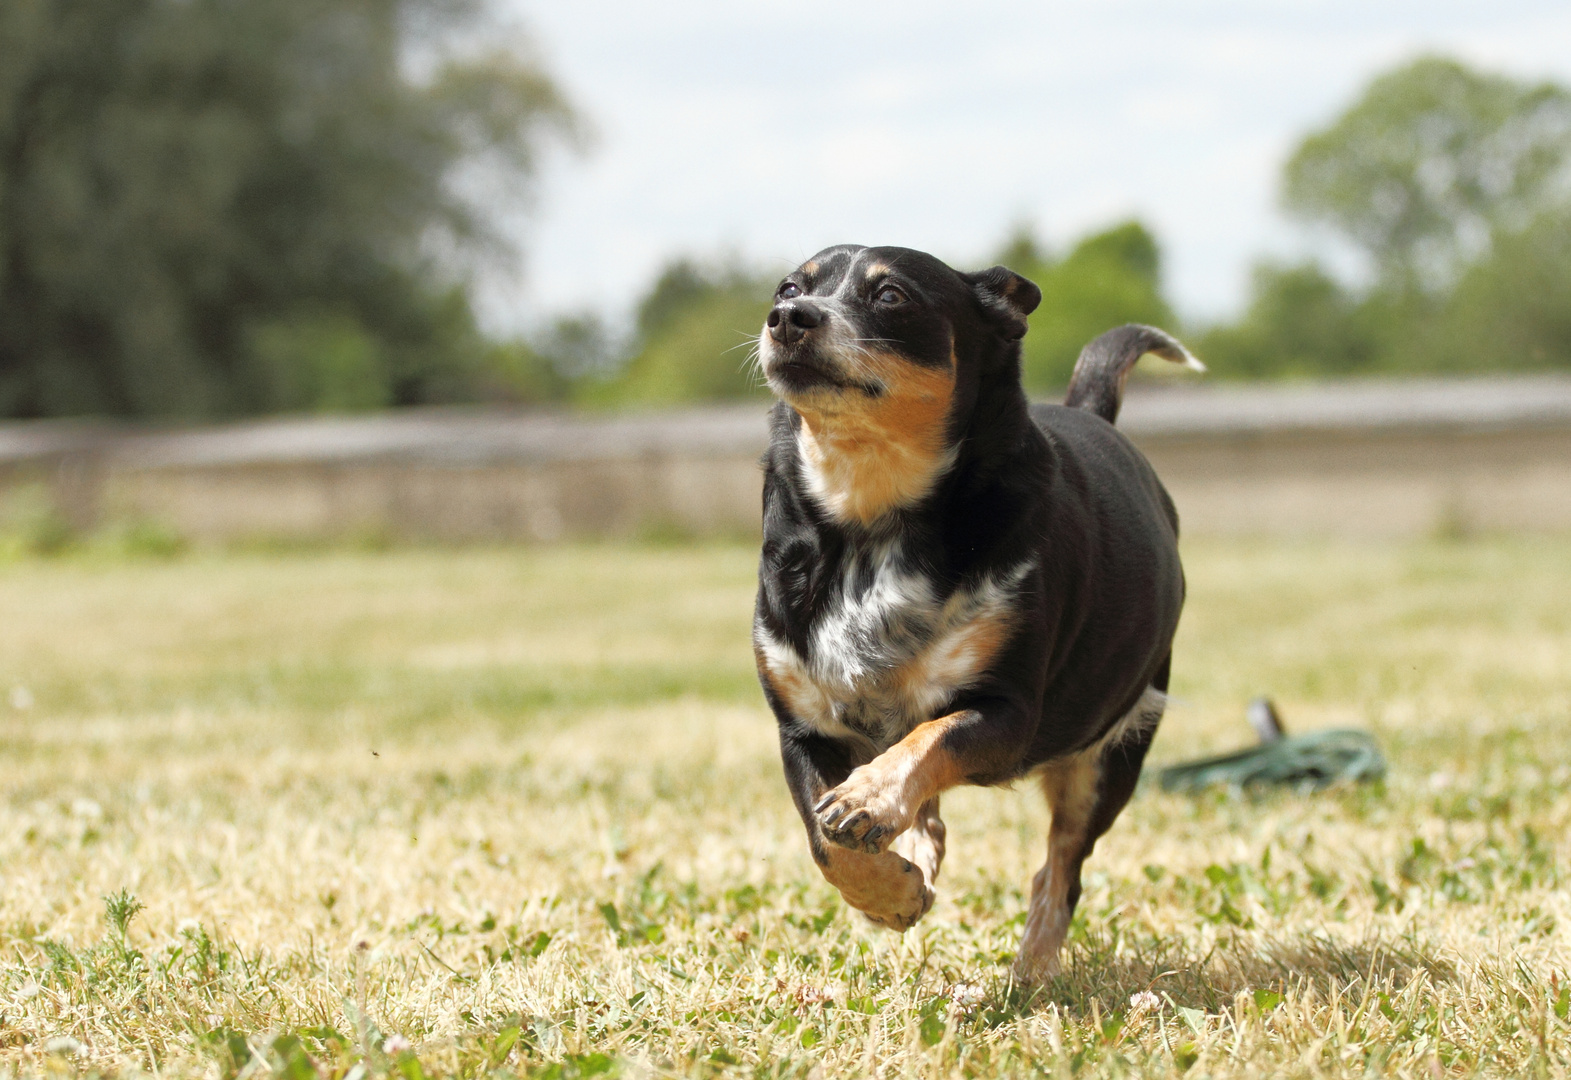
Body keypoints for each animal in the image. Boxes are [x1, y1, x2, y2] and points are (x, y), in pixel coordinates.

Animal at [747, 243, 1200, 980]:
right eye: (789, 287)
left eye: (891, 296)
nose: (789, 317)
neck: (870, 517)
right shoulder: (803, 727)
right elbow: (825, 840)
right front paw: (891, 891)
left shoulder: (1008, 712)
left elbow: (932, 737)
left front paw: (870, 799)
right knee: (933, 821)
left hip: (1111, 751)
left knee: (1059, 873)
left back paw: (1032, 972)